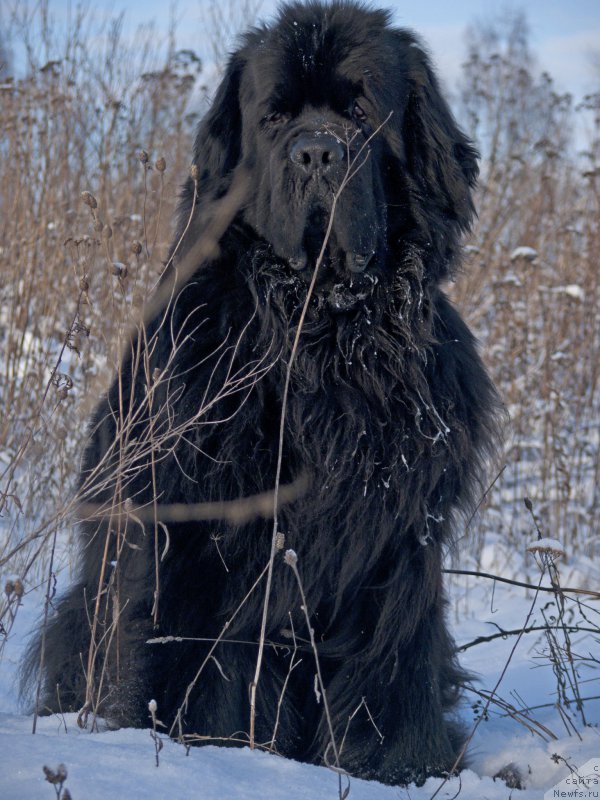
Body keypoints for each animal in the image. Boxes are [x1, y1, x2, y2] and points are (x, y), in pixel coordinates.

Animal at [24, 1, 502, 788]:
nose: (316, 155)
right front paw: (213, 749)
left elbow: (391, 655)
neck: (320, 337)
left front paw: (393, 764)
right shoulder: (198, 526)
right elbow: (200, 652)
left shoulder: (399, 534)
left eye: (360, 112)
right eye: (274, 118)